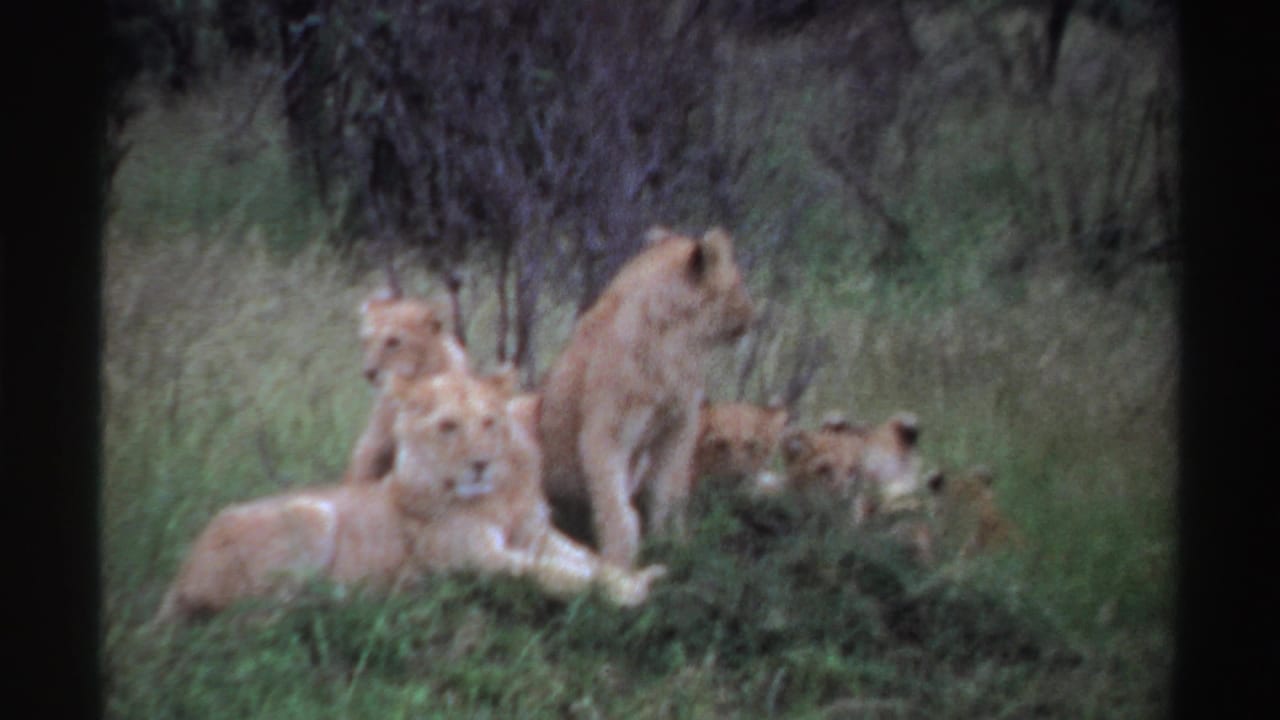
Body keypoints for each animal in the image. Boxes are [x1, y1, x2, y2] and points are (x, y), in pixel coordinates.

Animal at [155, 368, 665, 623]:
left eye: (489, 422)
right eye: (448, 426)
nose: (480, 463)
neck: (495, 497)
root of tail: (180, 574)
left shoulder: (535, 534)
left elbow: (588, 559)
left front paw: (638, 575)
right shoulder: (479, 562)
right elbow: (557, 574)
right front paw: (631, 592)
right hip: (312, 513)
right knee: (261, 612)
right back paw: (359, 594)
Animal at [538, 226, 755, 568]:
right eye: (738, 283)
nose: (753, 315)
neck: (676, 345)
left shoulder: (679, 426)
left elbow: (667, 493)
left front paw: (673, 544)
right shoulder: (606, 432)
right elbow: (617, 509)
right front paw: (618, 563)